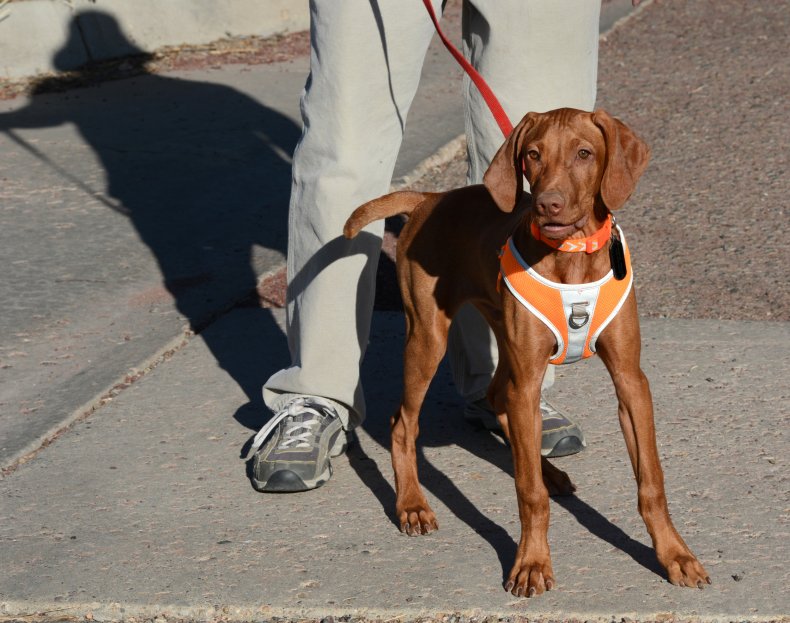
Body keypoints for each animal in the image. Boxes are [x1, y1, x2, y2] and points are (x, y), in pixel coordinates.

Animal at [344, 109, 712, 596]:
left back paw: (547, 470)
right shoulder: (528, 375)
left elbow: (651, 482)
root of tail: (431, 197)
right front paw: (532, 563)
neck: (572, 254)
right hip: (429, 336)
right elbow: (528, 494)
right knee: (404, 423)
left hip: (505, 342)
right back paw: (412, 505)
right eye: (533, 155)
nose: (548, 204)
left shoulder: (631, 380)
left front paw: (675, 555)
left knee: (499, 400)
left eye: (584, 153)